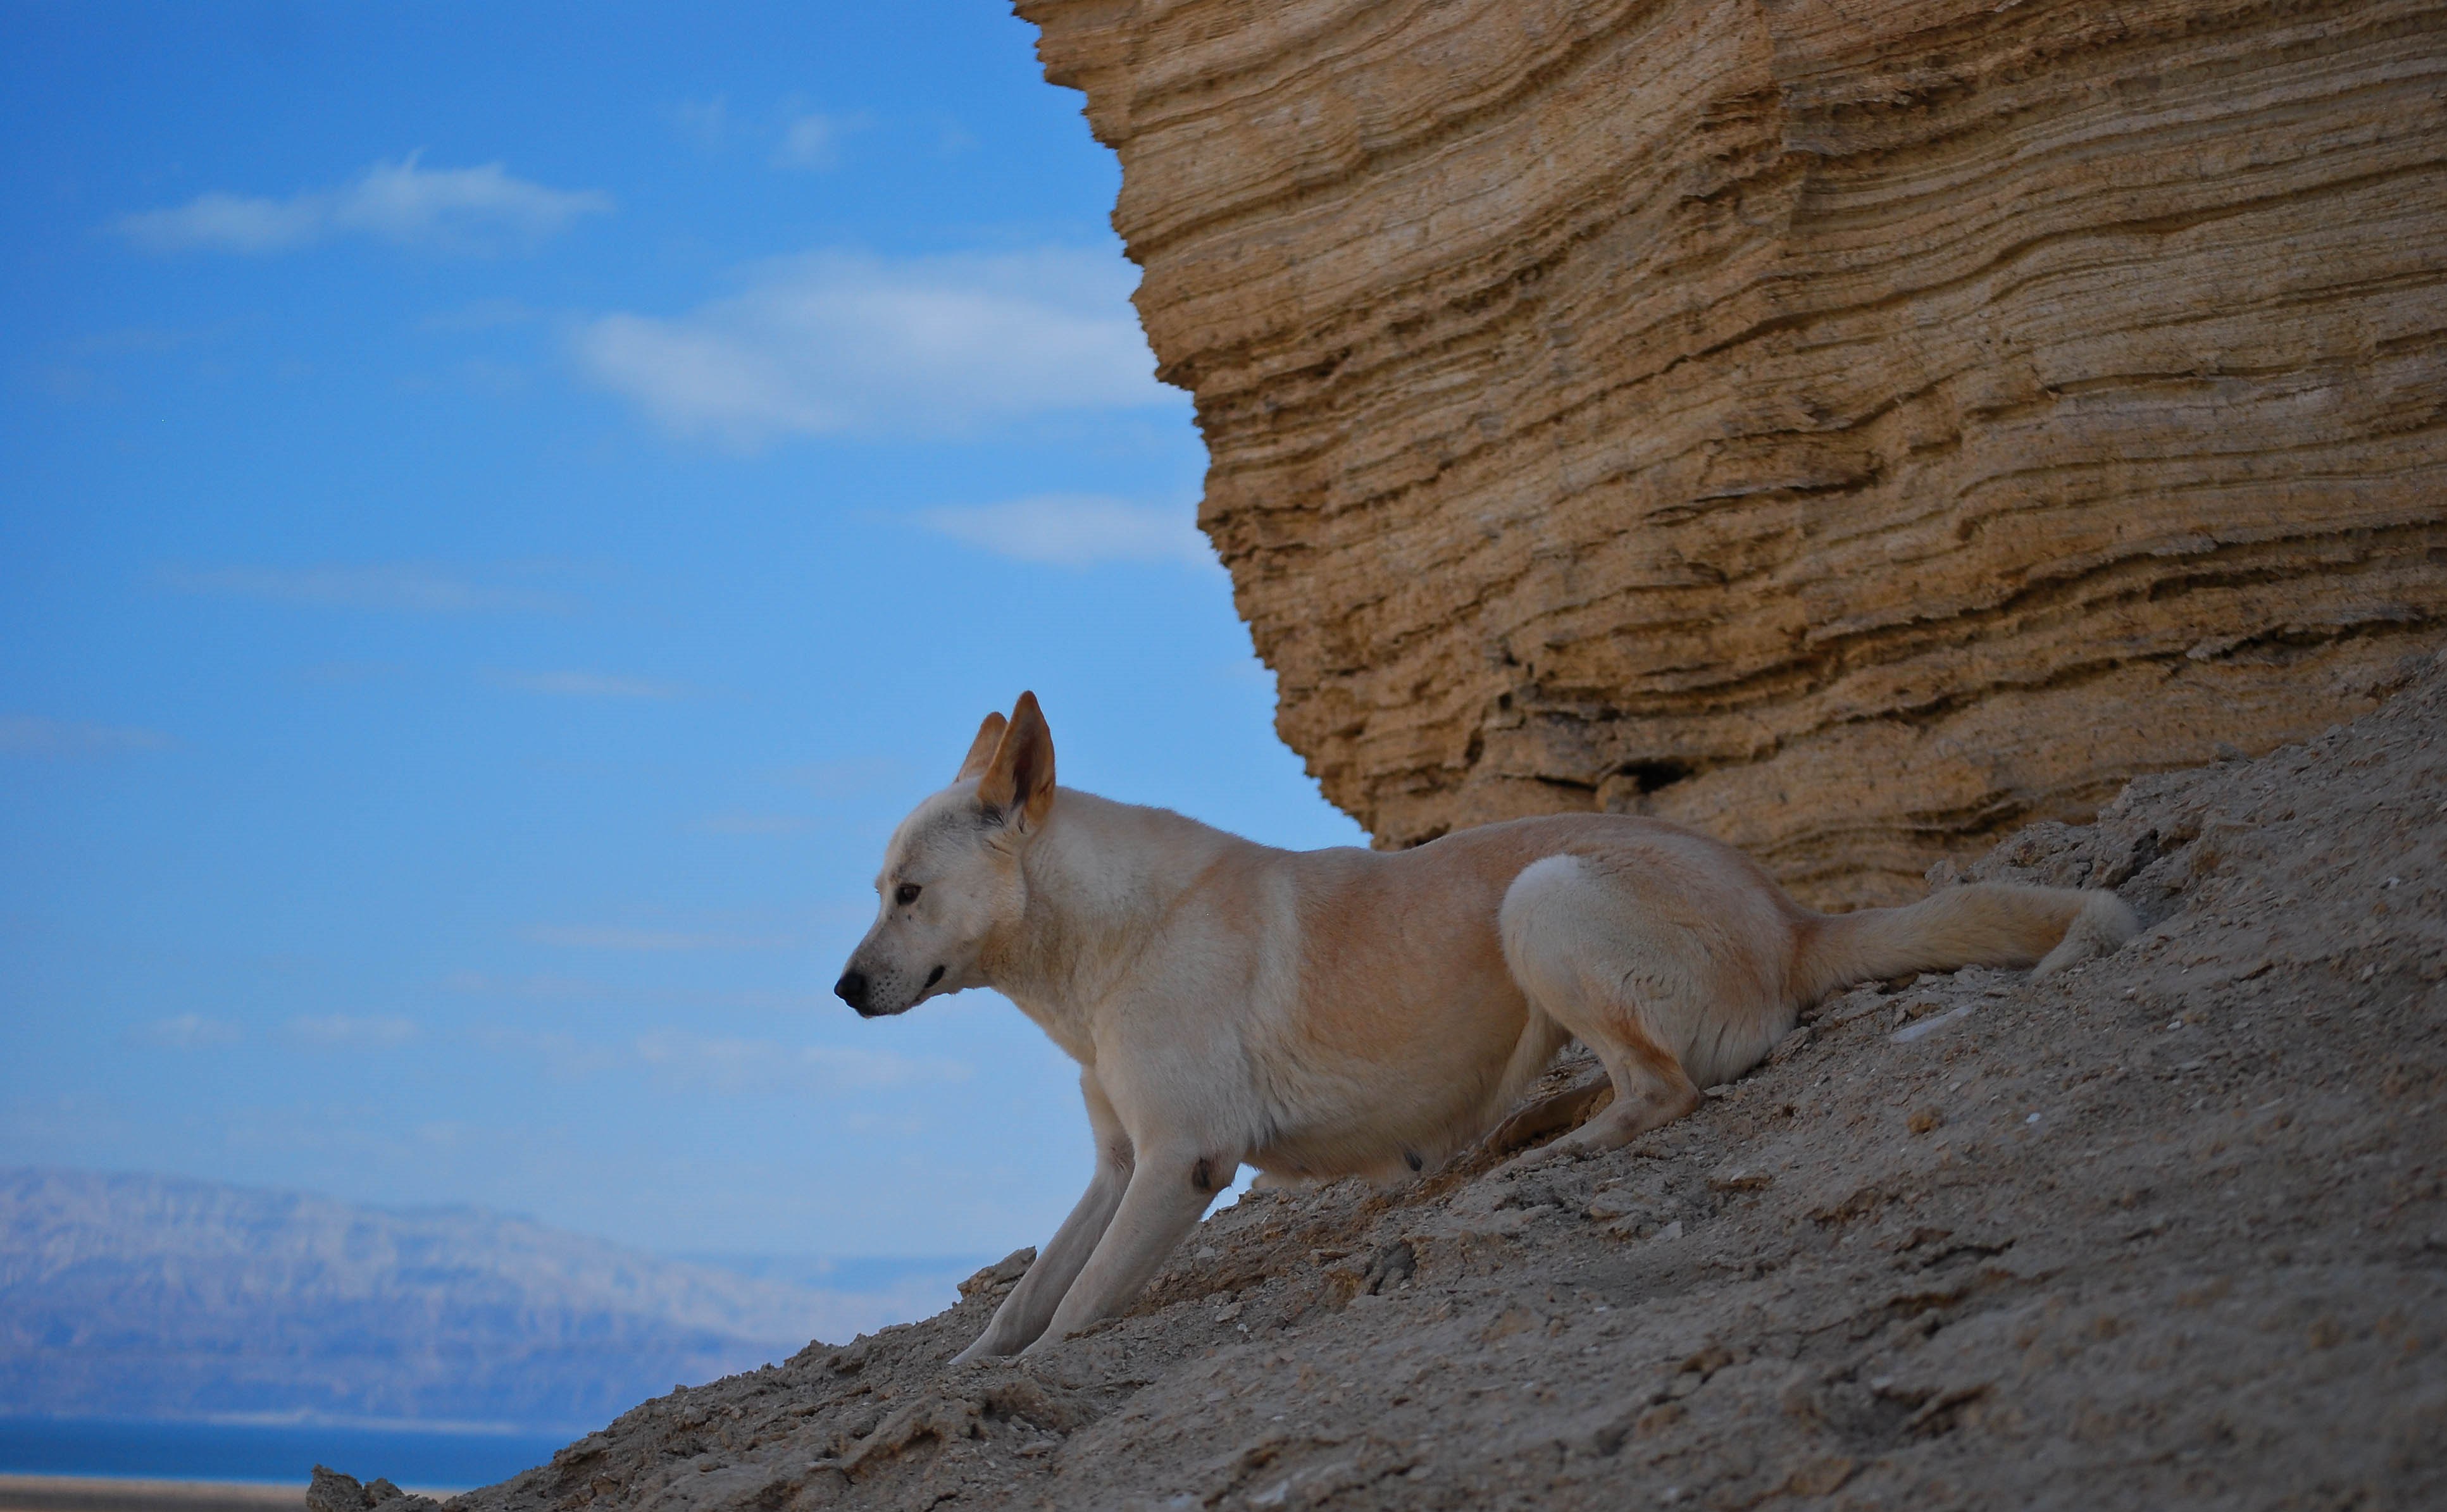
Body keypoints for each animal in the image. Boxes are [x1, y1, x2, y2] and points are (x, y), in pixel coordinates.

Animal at [831, 690, 2134, 1350]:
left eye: (909, 894)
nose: (842, 992)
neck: (1101, 940)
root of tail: (1793, 919)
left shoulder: (1179, 1163)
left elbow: (1075, 1312)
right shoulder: (1116, 1166)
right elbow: (1025, 1299)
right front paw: (971, 1376)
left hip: (1541, 897)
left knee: (1664, 1090)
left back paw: (1539, 1157)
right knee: (1625, 1077)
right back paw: (1516, 1132)